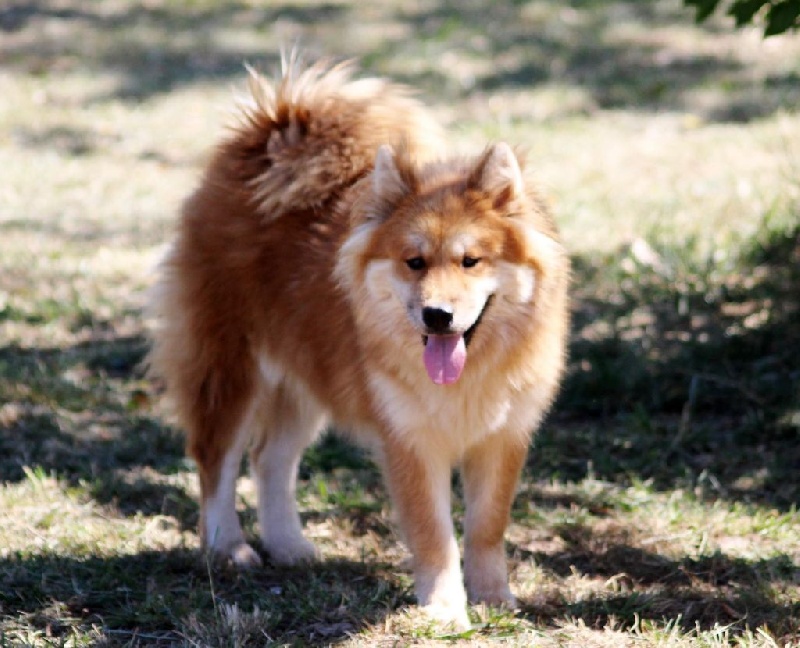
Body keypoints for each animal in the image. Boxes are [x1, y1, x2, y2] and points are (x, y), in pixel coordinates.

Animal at [145, 59, 568, 628]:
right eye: (414, 262)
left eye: (470, 261)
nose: (437, 315)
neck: (469, 377)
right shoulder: (410, 441)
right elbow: (435, 534)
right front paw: (444, 609)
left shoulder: (502, 439)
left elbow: (486, 527)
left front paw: (494, 598)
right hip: (232, 370)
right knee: (217, 459)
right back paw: (228, 548)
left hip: (302, 380)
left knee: (270, 460)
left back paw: (289, 546)